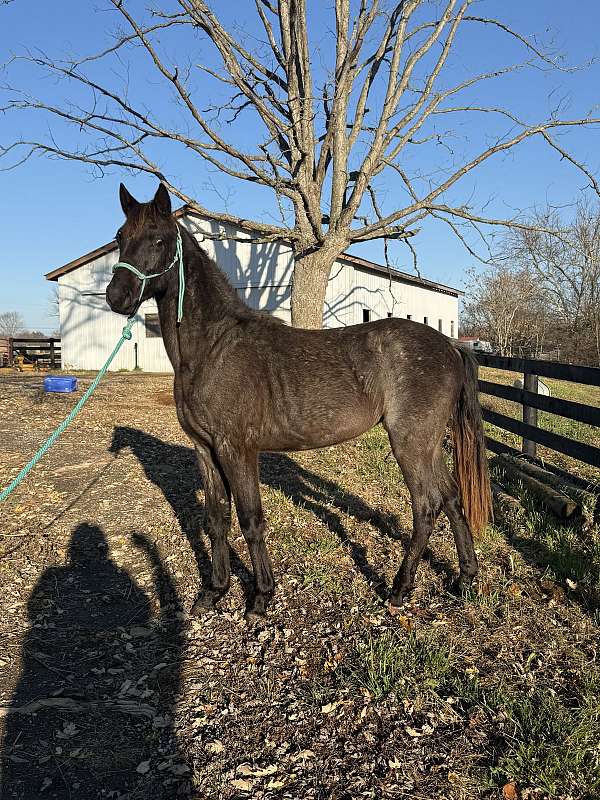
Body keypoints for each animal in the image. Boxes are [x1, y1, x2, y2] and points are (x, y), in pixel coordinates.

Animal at [106, 184, 492, 620]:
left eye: (158, 239)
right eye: (120, 236)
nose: (117, 297)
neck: (212, 347)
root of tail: (449, 345)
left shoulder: (237, 449)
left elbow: (250, 520)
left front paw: (260, 598)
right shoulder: (205, 449)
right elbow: (216, 519)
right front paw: (214, 591)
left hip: (411, 443)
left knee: (427, 506)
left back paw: (399, 589)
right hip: (427, 445)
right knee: (452, 498)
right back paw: (464, 579)